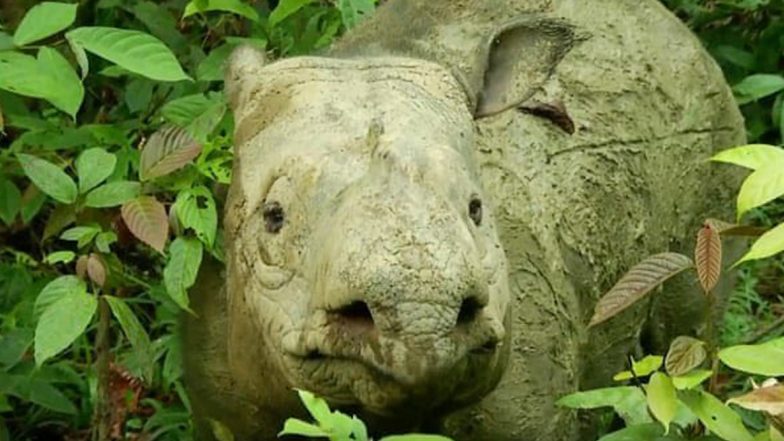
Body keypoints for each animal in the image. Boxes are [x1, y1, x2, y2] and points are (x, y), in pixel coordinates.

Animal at [183, 0, 745, 440]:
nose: (420, 322)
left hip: (711, 124)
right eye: (273, 217)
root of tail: (668, 23)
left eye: (477, 209)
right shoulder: (222, 407)